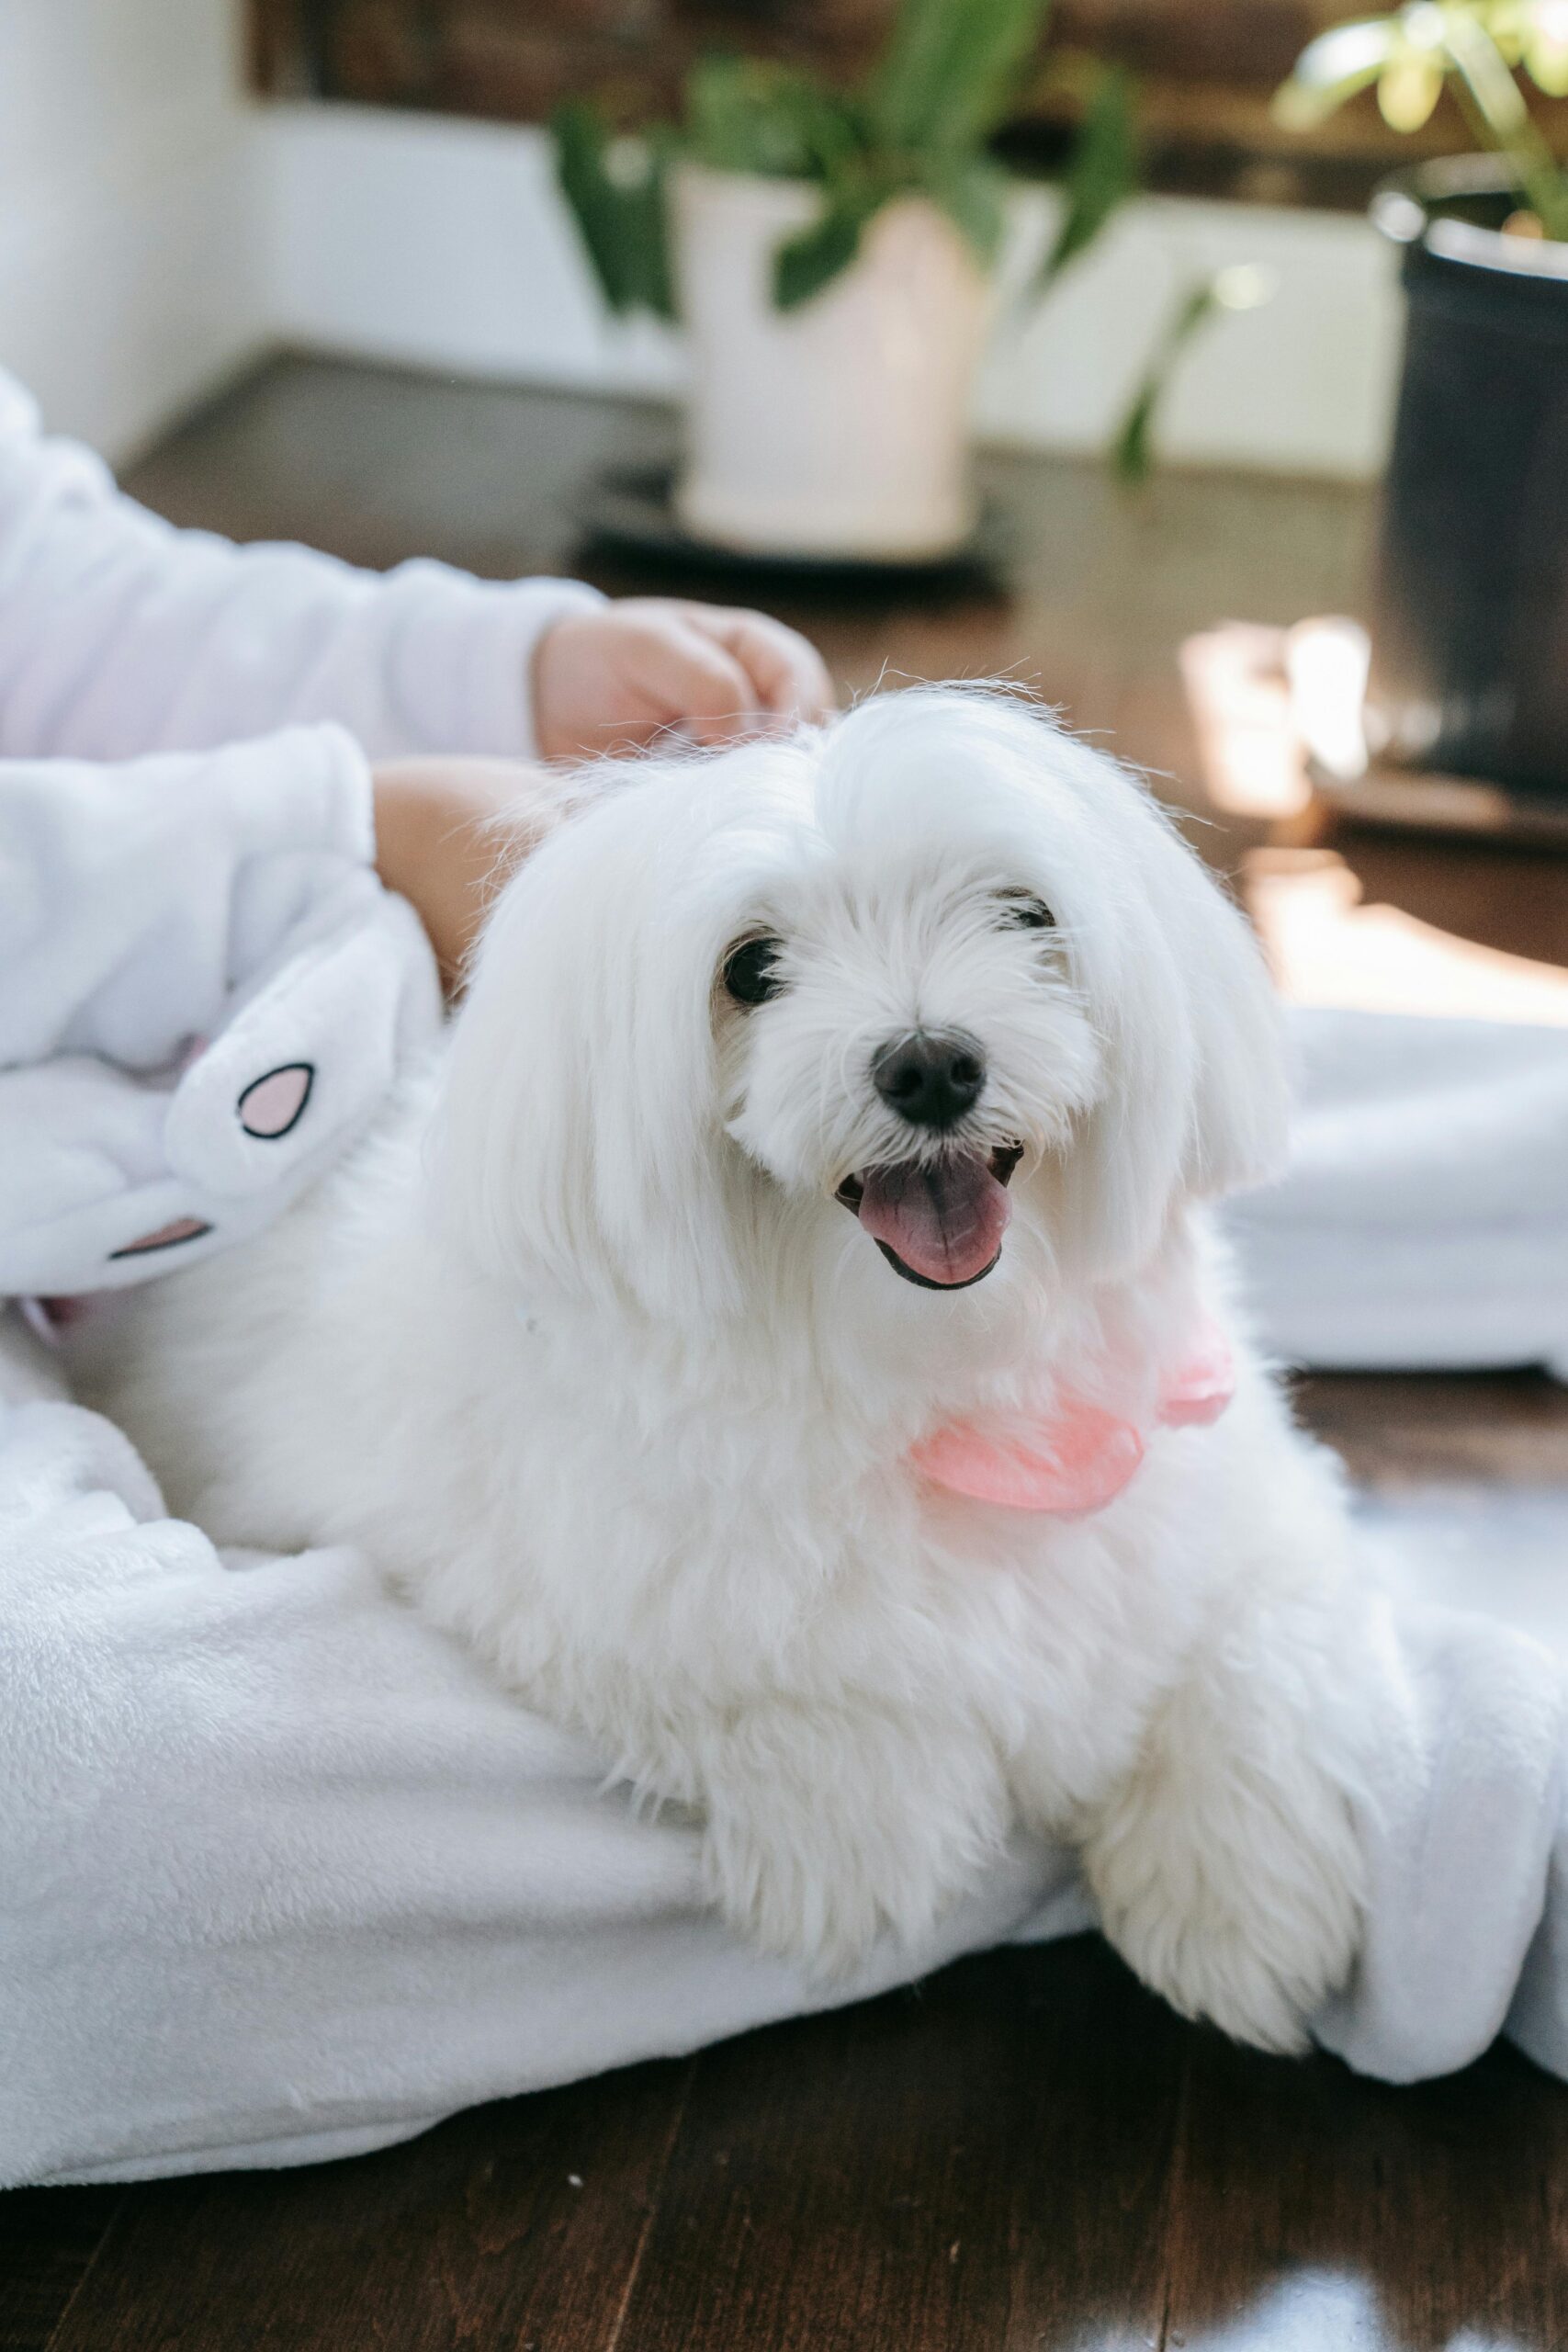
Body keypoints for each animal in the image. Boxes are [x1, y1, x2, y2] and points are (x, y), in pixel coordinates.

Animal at [80, 686, 1363, 2051]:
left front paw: (1236, 1903)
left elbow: (1255, 1644)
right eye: (749, 970)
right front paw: (867, 1827)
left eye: (1023, 915)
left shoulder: (1231, 1489)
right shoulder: (542, 1570)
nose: (928, 1062)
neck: (928, 1379)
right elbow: (759, 1672)